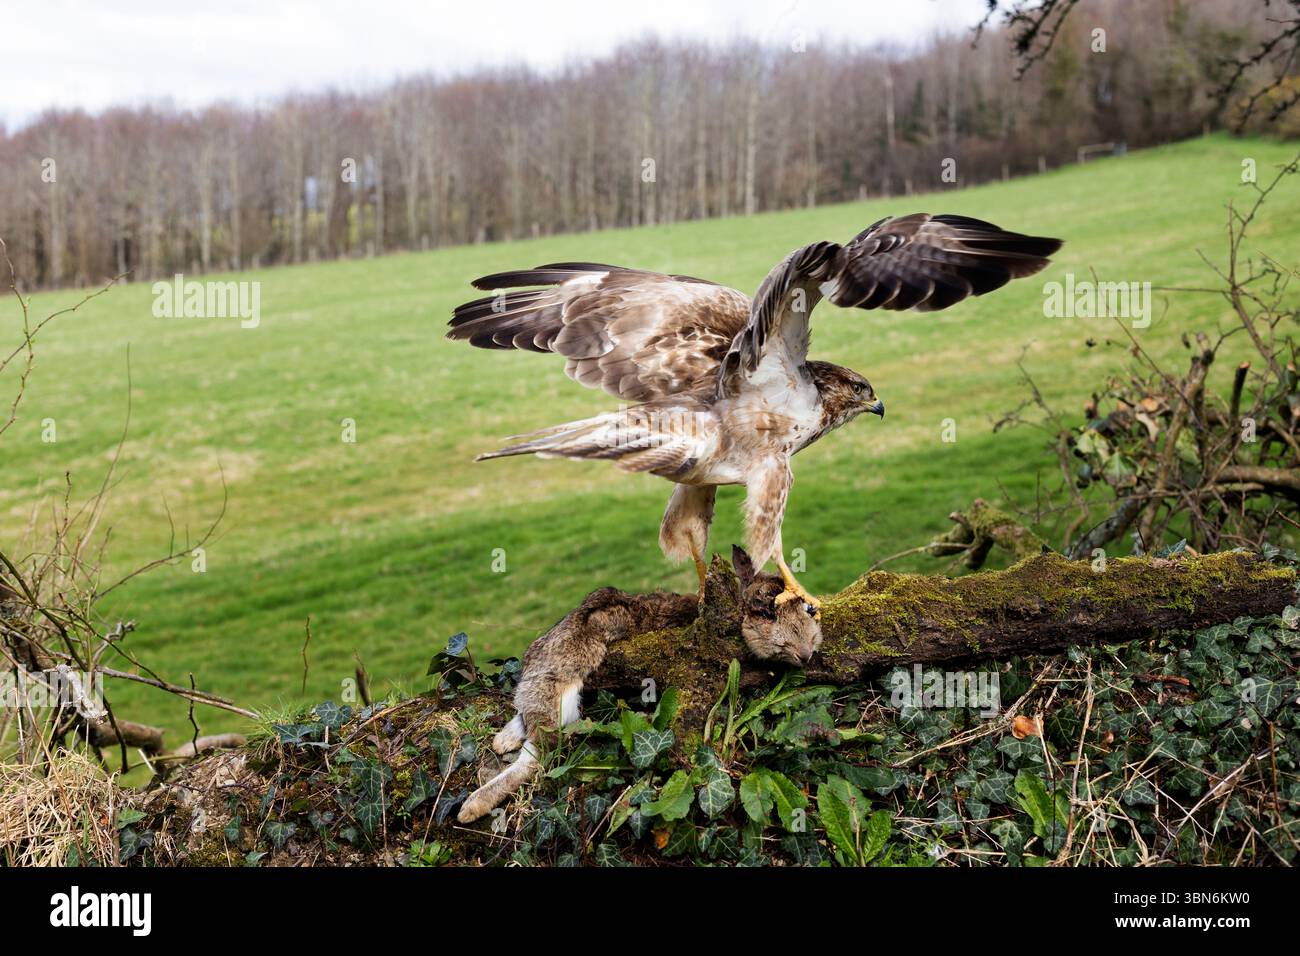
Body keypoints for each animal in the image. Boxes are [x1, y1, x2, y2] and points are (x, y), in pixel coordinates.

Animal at [456, 545, 822, 824]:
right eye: (765, 613)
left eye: (809, 609)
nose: (805, 653)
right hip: (557, 691)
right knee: (537, 756)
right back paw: (470, 807)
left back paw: (499, 747)